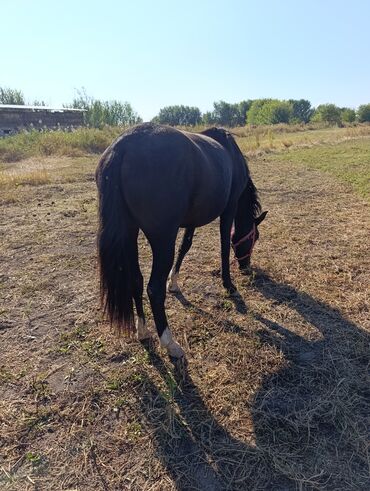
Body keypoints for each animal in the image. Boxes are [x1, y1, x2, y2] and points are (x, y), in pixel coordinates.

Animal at [97, 124, 268, 358]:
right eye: (255, 237)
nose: (246, 267)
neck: (229, 154)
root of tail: (122, 147)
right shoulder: (229, 208)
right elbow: (224, 246)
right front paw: (229, 284)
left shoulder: (192, 220)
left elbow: (185, 246)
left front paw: (174, 283)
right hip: (162, 240)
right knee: (153, 289)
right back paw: (170, 343)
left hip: (129, 233)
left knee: (136, 281)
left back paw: (143, 331)